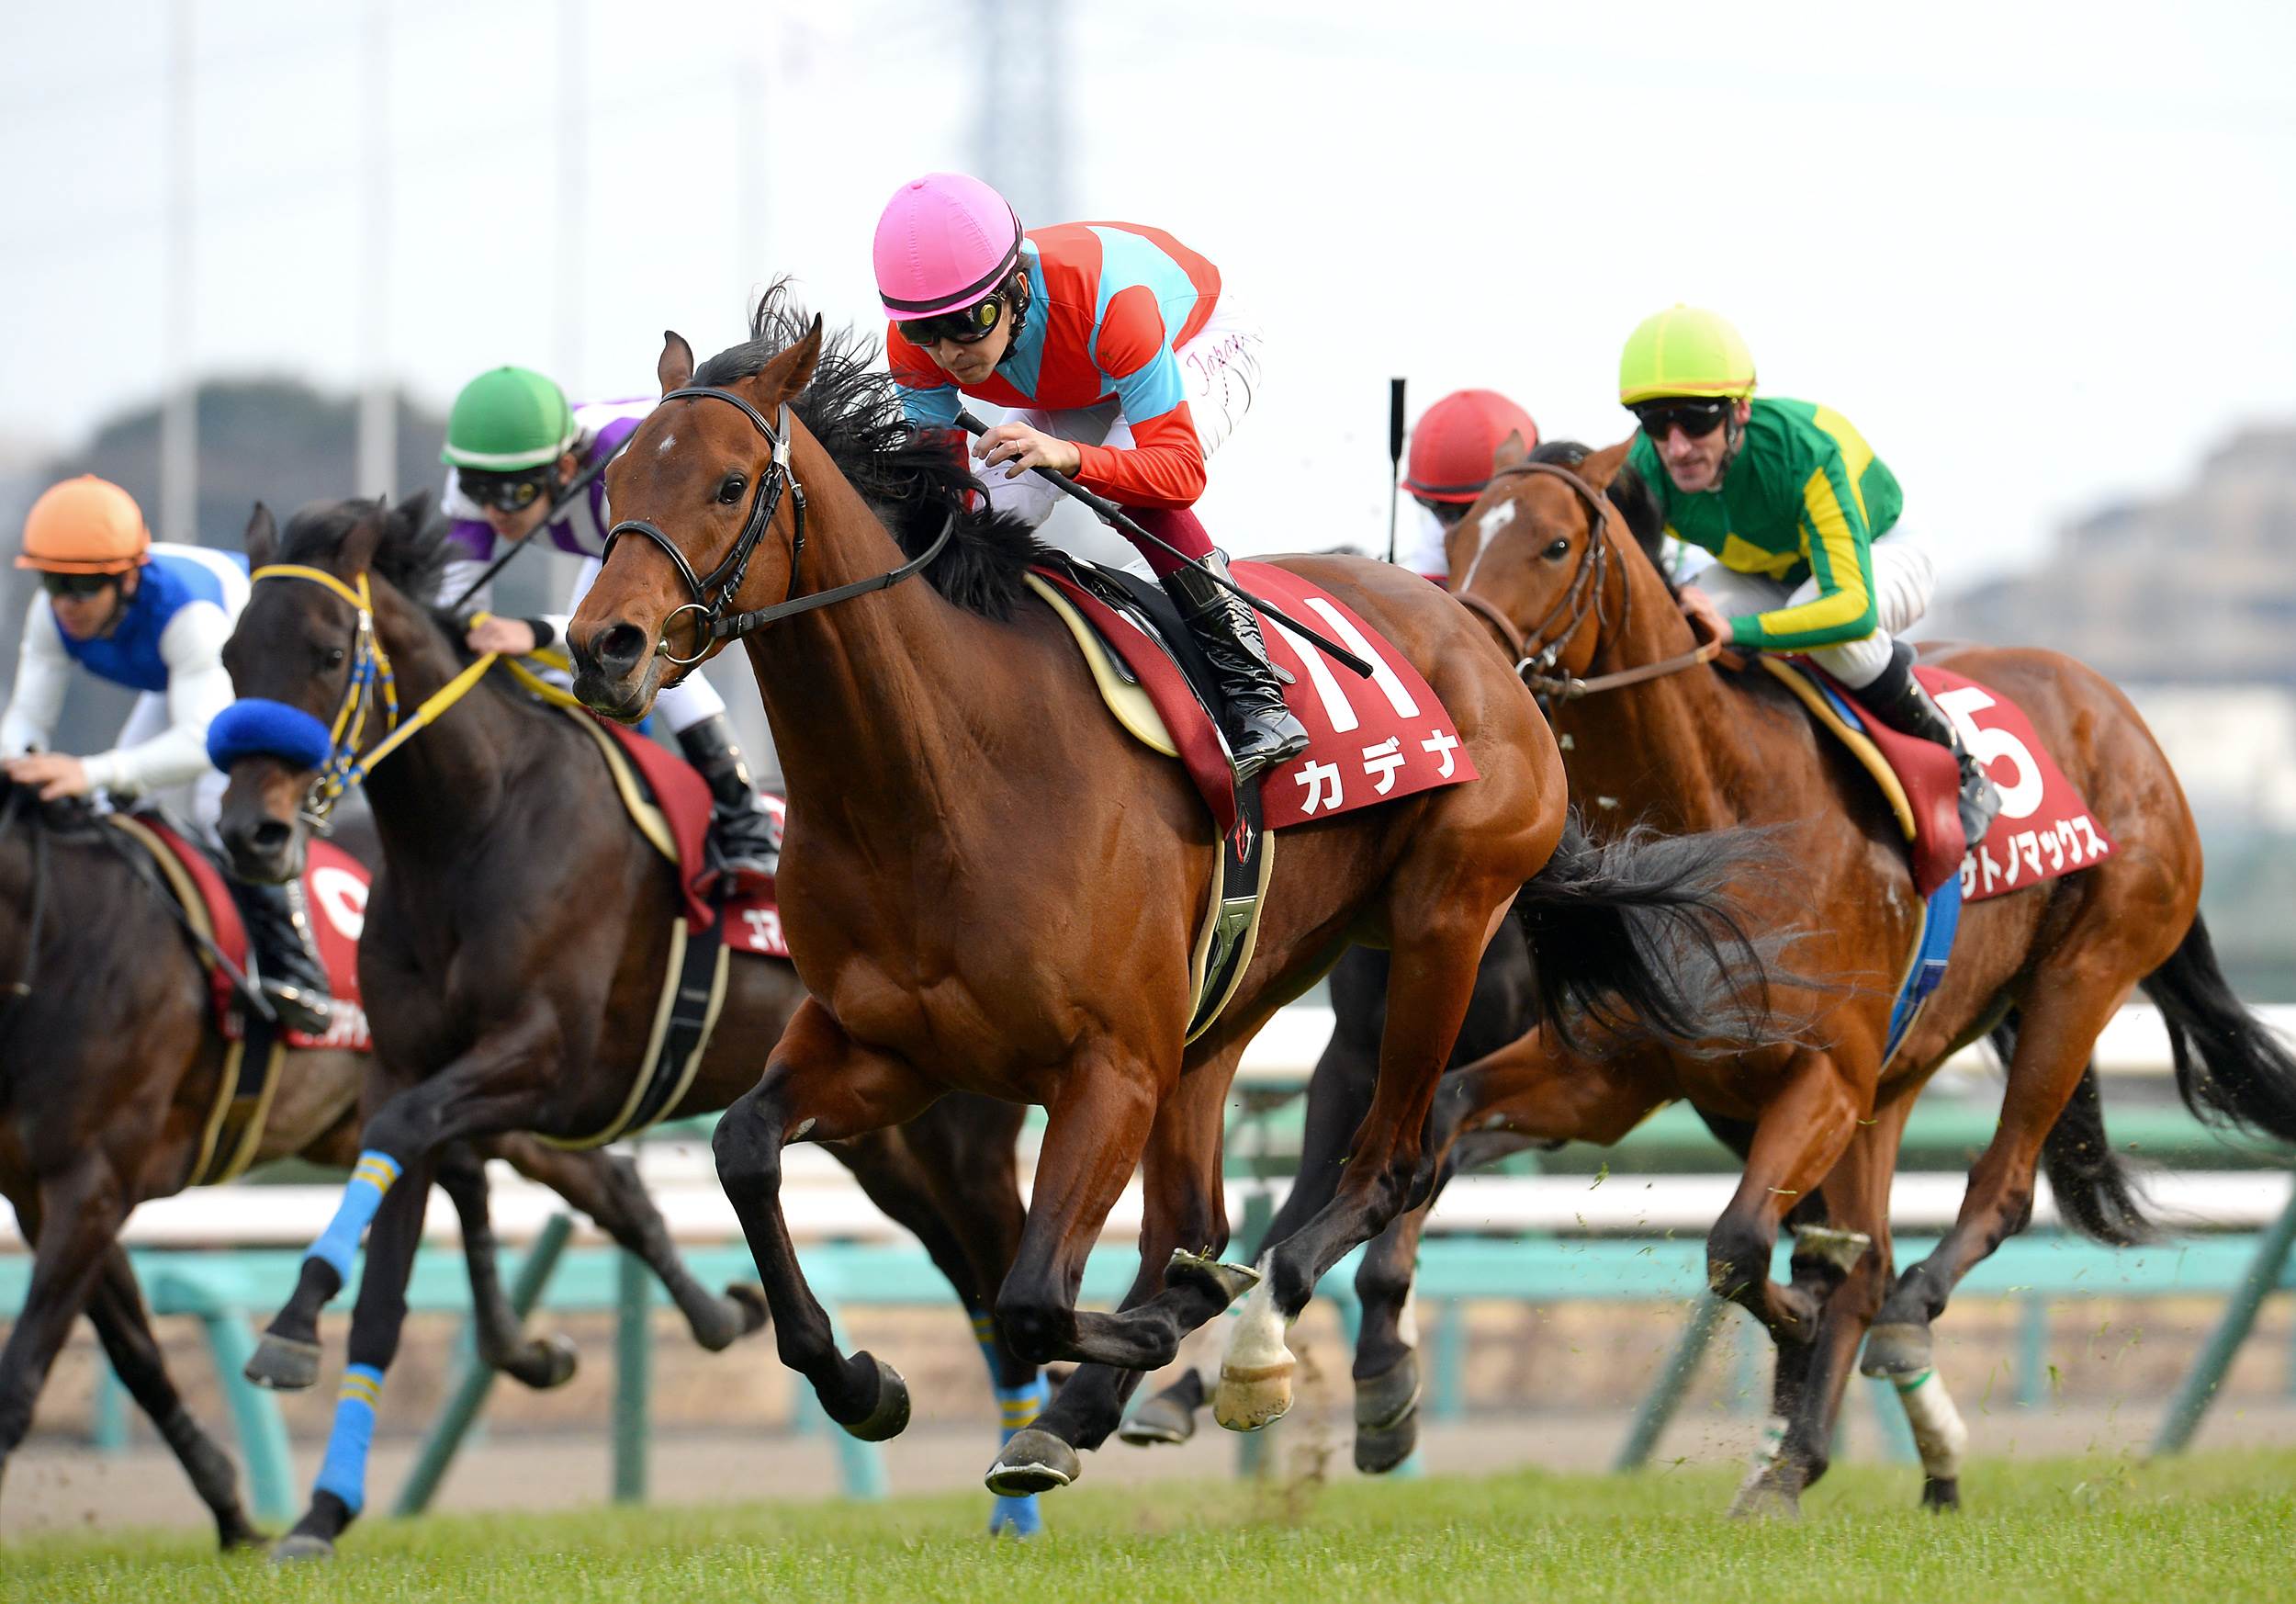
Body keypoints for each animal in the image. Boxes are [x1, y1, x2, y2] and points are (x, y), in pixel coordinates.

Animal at [0, 780, 776, 1547]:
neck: (62, 936)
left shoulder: (96, 1181)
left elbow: (28, 1369)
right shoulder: (45, 1197)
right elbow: (136, 1354)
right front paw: (233, 1515)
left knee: (596, 1184)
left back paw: (702, 1317)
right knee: (509, 1178)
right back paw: (593, 1335)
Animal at [213, 496, 1037, 1557]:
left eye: (324, 651)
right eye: (232, 655)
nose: (250, 835)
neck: (471, 831)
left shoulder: (546, 1064)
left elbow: (406, 1136)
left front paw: (291, 1316)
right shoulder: (404, 1065)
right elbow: (384, 1293)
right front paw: (321, 1505)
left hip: (963, 1137)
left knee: (994, 1279)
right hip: (882, 1146)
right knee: (970, 1283)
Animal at [560, 292, 1787, 1499]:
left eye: (728, 484)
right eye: (617, 488)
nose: (601, 645)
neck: (936, 775)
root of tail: (1480, 635)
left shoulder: (1108, 1067)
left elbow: (1032, 1295)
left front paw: (1153, 1337)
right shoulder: (888, 1047)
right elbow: (746, 1148)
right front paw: (864, 1381)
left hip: (1442, 922)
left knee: (1387, 1166)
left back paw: (1241, 1348)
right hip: (1236, 993)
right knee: (1208, 1211)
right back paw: (1111, 1389)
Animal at [1420, 436, 2296, 1513]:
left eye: (1550, 544)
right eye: (1461, 532)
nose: (1467, 653)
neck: (1724, 809)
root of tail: (2120, 712)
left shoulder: (1825, 1074)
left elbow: (1739, 1246)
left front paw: (1800, 1315)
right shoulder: (1624, 1071)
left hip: (2081, 979)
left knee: (1989, 1197)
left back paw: (1893, 1336)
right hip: (1895, 1073)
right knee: (1869, 1247)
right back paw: (1815, 1454)